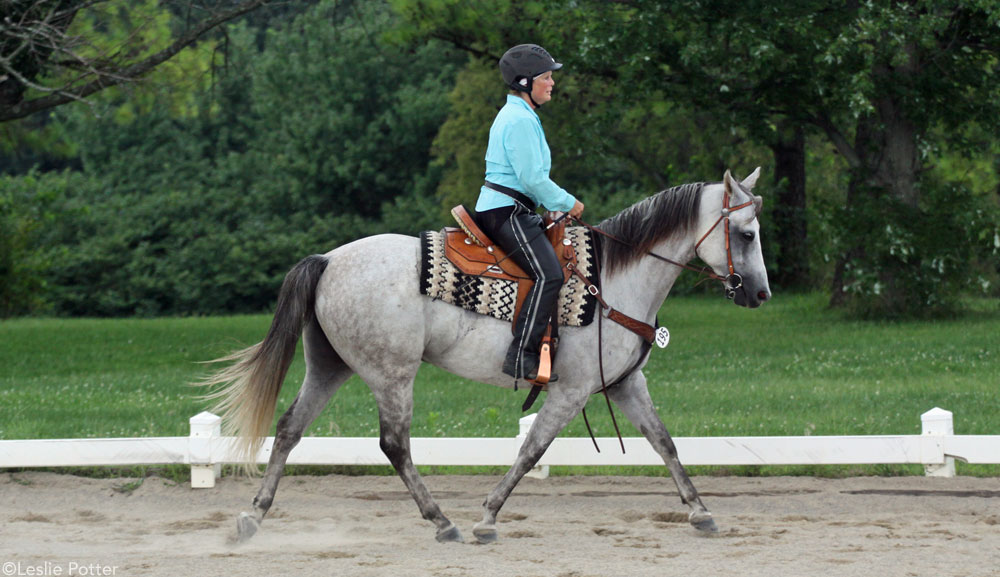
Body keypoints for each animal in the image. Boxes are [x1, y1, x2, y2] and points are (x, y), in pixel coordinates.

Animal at [199, 168, 768, 544]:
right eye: (746, 233)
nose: (759, 294)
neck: (612, 281)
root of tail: (329, 259)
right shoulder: (572, 391)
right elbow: (532, 449)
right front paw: (488, 516)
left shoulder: (626, 384)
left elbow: (664, 443)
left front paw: (700, 512)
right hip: (391, 374)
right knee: (394, 444)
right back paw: (442, 521)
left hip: (329, 367)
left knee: (289, 429)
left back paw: (254, 516)